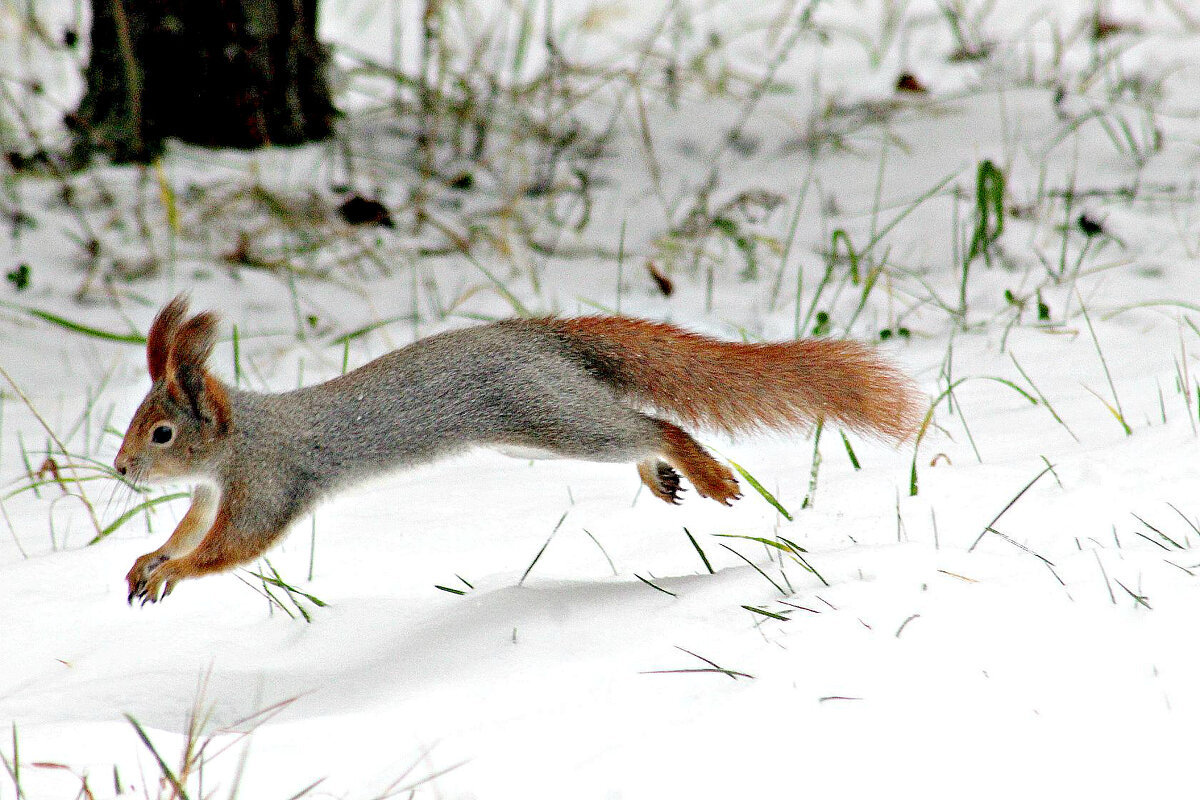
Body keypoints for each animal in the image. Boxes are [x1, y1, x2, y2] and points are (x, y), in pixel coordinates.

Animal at [114, 297, 916, 604]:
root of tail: (543, 336)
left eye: (162, 433)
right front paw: (147, 559)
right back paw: (662, 477)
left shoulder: (267, 482)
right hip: (551, 425)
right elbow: (188, 527)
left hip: (551, 417)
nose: (121, 470)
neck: (239, 438)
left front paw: (174, 573)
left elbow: (231, 547)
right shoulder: (210, 493)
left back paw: (702, 469)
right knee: (635, 428)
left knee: (652, 426)